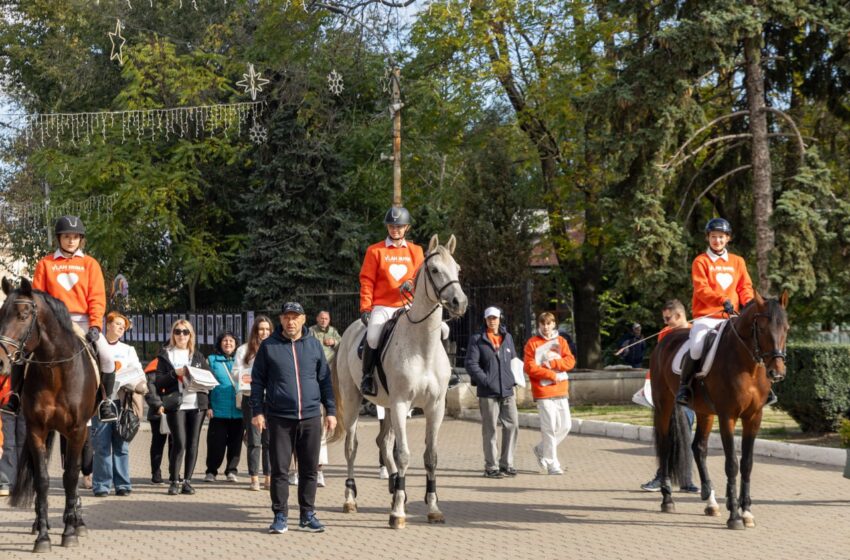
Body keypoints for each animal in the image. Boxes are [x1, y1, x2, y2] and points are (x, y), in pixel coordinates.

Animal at [0, 276, 98, 552]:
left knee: (74, 470)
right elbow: (42, 480)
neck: (56, 371)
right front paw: (43, 535)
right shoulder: (36, 430)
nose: (1, 361)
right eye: (1, 314)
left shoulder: (77, 430)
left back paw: (77, 521)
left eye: (23, 315)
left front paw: (70, 531)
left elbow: (71, 476)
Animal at [328, 233, 468, 528]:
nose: (459, 303)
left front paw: (432, 507)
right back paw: (350, 498)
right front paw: (398, 513)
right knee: (352, 447)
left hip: (389, 407)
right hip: (355, 401)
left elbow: (430, 457)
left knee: (384, 443)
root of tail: (348, 333)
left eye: (458, 269)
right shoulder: (403, 403)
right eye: (434, 270)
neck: (423, 346)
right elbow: (403, 455)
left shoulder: (434, 407)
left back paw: (394, 486)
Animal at [648, 290, 788, 532]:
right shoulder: (727, 416)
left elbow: (747, 464)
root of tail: (666, 338)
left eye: (786, 328)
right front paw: (735, 517)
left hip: (705, 412)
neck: (748, 366)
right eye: (761, 328)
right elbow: (731, 464)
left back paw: (711, 502)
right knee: (665, 446)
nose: (777, 372)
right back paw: (667, 499)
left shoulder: (754, 417)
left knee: (698, 448)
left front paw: (746, 512)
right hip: (664, 405)